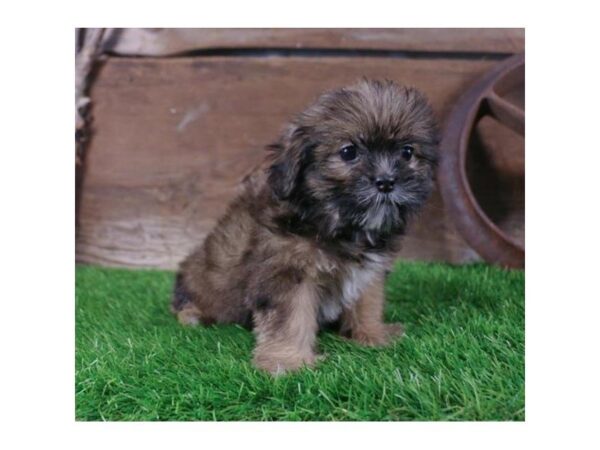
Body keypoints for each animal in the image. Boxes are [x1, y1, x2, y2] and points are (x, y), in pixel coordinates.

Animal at [171, 79, 438, 374]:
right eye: (349, 152)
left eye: (407, 152)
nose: (386, 181)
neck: (338, 225)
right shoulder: (287, 271)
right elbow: (290, 317)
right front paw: (288, 360)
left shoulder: (368, 270)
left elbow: (368, 301)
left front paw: (372, 334)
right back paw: (192, 315)